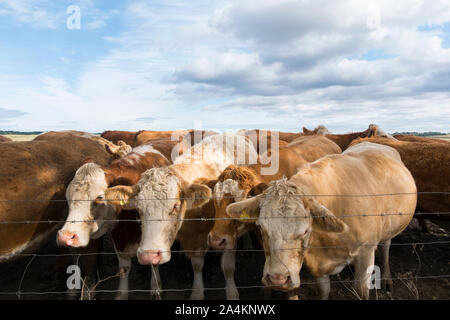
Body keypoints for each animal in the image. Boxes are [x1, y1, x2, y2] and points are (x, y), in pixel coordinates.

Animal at [227, 142, 416, 300]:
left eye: (305, 231)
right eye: (261, 228)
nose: (278, 279)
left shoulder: (366, 253)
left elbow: (361, 291)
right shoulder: (318, 265)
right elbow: (323, 290)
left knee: (386, 247)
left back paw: (387, 278)